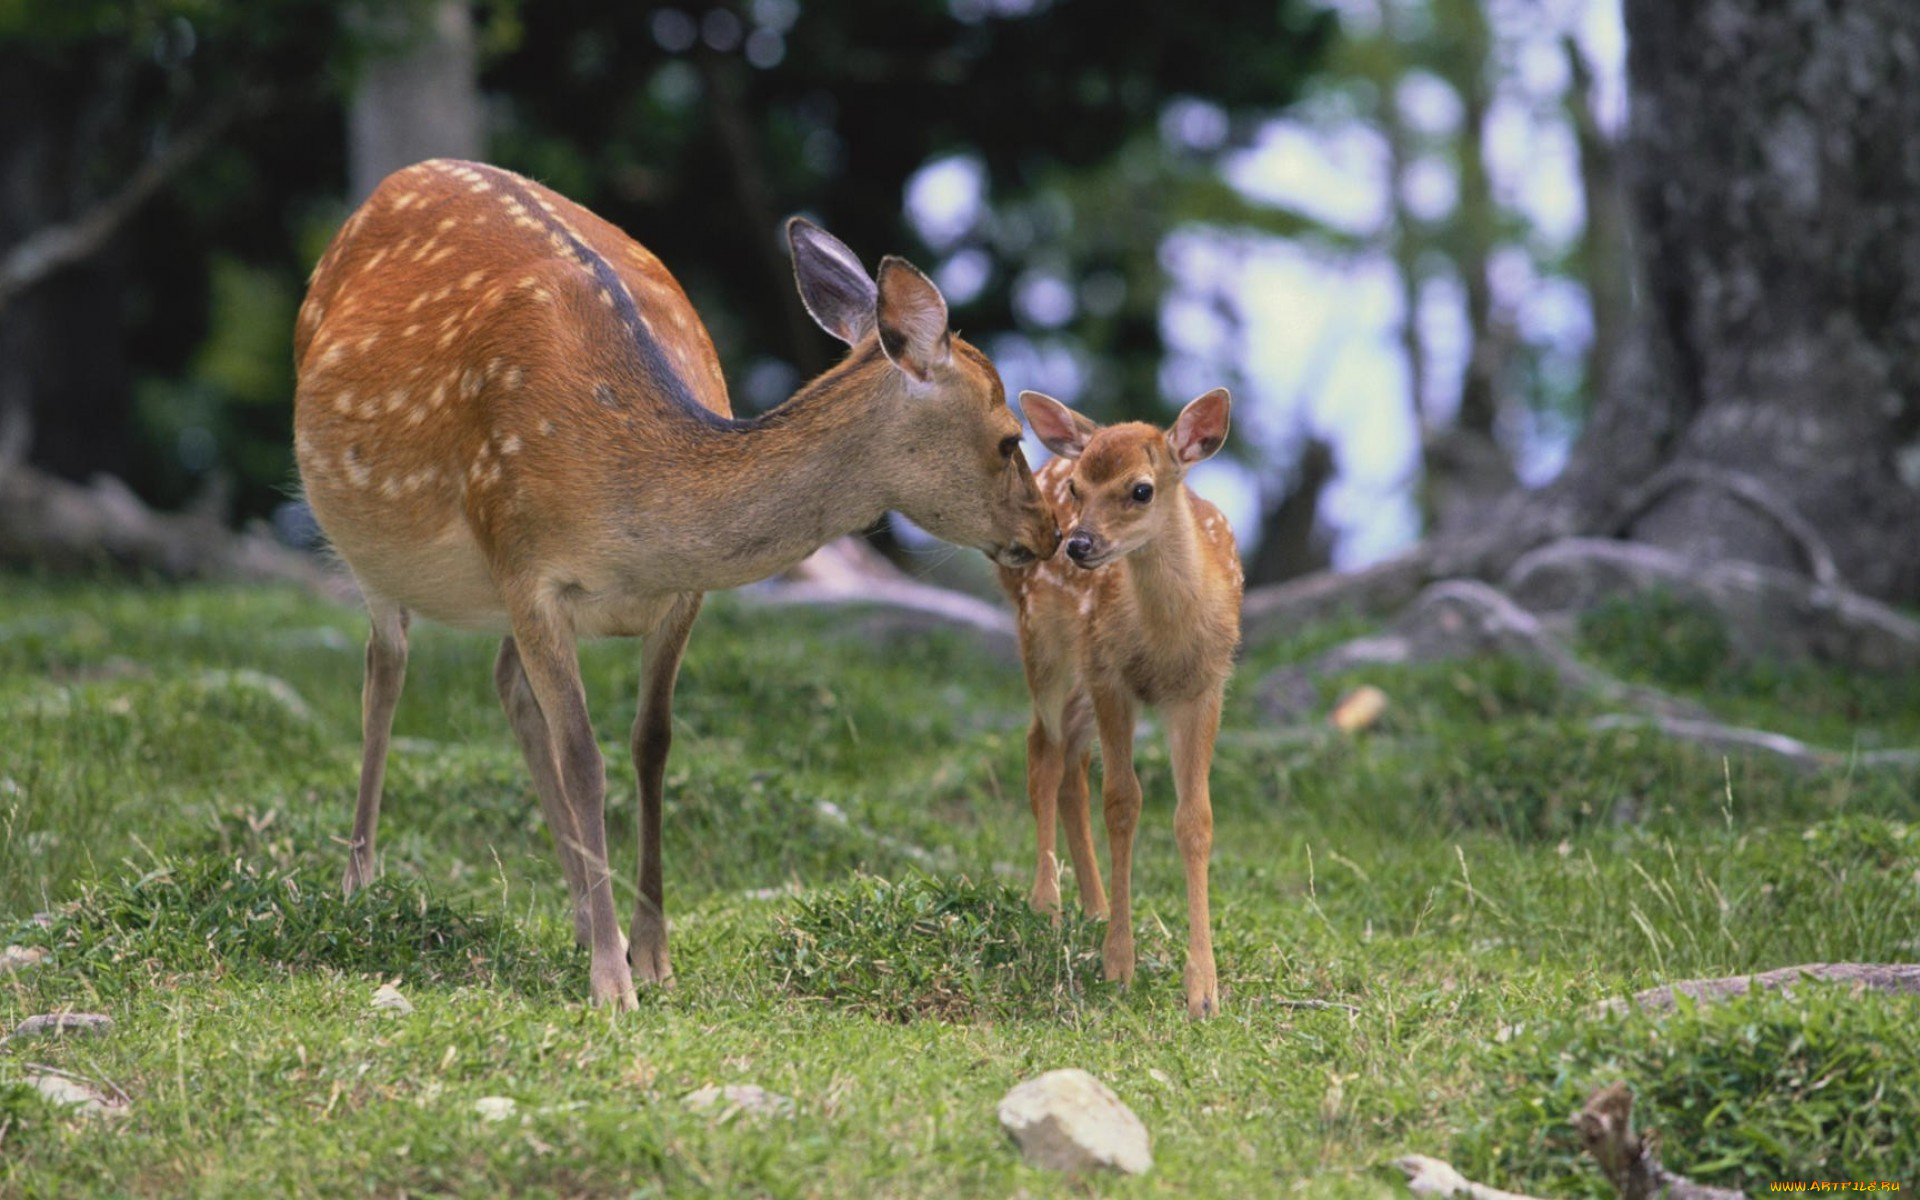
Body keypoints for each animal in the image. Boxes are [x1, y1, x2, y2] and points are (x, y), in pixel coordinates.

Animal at [291, 156, 1059, 998]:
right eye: (1008, 438)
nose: (1049, 533)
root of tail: (397, 180)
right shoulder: (525, 563)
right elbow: (584, 758)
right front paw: (611, 981)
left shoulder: (680, 596)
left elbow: (650, 743)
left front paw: (651, 954)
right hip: (371, 545)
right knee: (385, 669)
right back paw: (360, 885)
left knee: (507, 686)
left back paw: (579, 913)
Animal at [998, 387, 1236, 1013]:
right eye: (1079, 489)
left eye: (1141, 489)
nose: (1078, 544)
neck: (1165, 640)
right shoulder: (1112, 676)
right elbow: (1123, 804)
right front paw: (1118, 965)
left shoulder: (1205, 685)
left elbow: (1195, 818)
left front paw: (1203, 990)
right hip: (1045, 643)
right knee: (1043, 751)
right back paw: (1047, 904)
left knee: (1071, 765)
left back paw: (1094, 905)